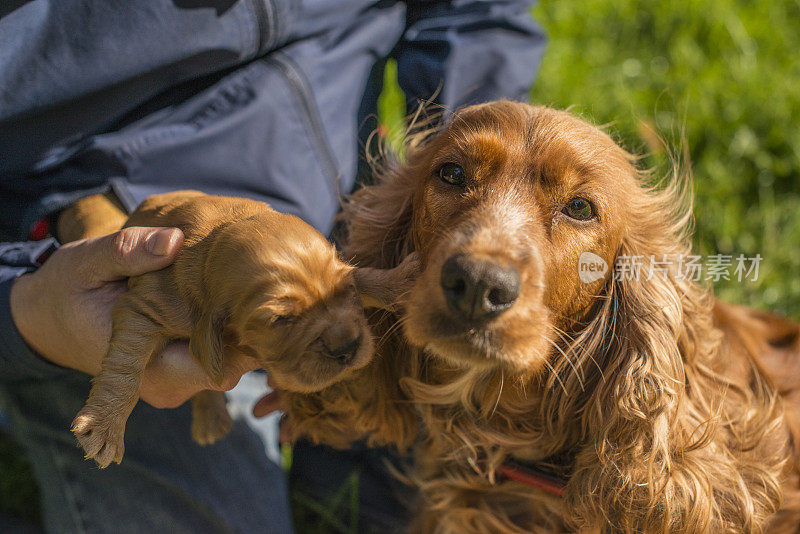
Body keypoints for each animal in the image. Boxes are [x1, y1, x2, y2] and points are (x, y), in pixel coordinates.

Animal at [69, 193, 416, 468]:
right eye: (282, 320)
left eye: (346, 290)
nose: (347, 348)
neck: (213, 239)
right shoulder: (145, 305)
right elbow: (126, 364)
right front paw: (105, 426)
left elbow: (365, 276)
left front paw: (400, 282)